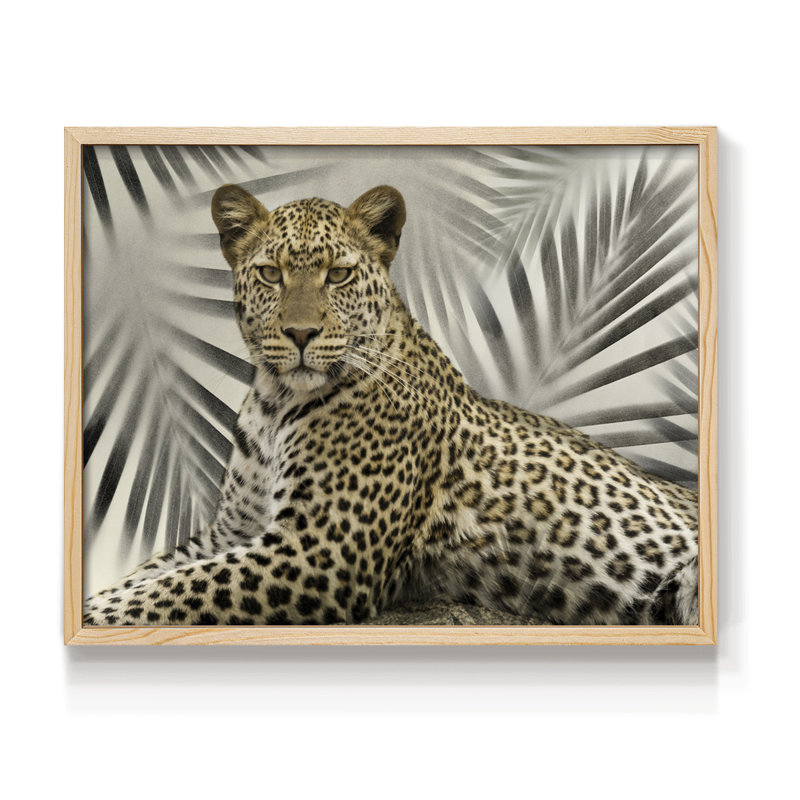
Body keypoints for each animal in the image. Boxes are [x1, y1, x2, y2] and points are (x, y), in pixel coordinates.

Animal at [83, 183, 699, 627]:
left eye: (338, 274)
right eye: (270, 273)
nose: (301, 334)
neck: (276, 402)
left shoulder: (319, 550)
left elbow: (167, 592)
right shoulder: (231, 533)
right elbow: (149, 575)